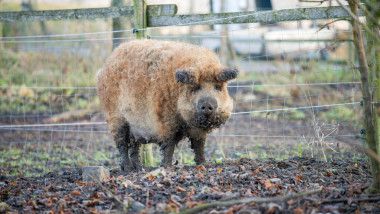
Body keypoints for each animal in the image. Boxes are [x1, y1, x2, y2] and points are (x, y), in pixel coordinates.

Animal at [96, 39, 236, 171]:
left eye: (218, 87)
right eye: (196, 87)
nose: (207, 104)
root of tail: (105, 65)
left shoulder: (197, 130)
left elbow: (199, 145)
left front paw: (203, 164)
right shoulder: (165, 120)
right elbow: (169, 145)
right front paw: (166, 167)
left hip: (133, 126)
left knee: (134, 147)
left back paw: (139, 168)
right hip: (115, 117)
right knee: (121, 144)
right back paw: (128, 169)